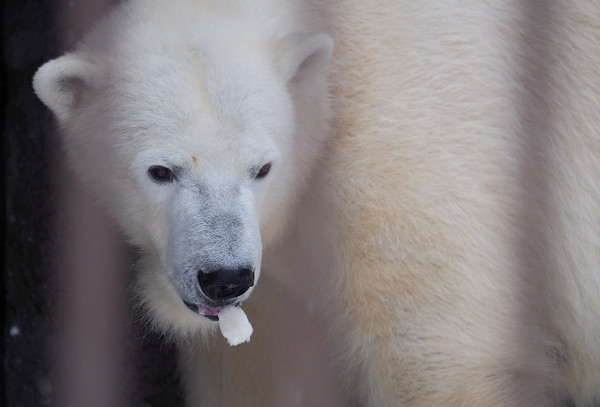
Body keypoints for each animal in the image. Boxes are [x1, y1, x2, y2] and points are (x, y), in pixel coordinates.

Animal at [32, 0, 600, 407]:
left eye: (262, 168)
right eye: (161, 171)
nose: (225, 277)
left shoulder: (402, 167)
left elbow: (435, 356)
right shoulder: (273, 295)